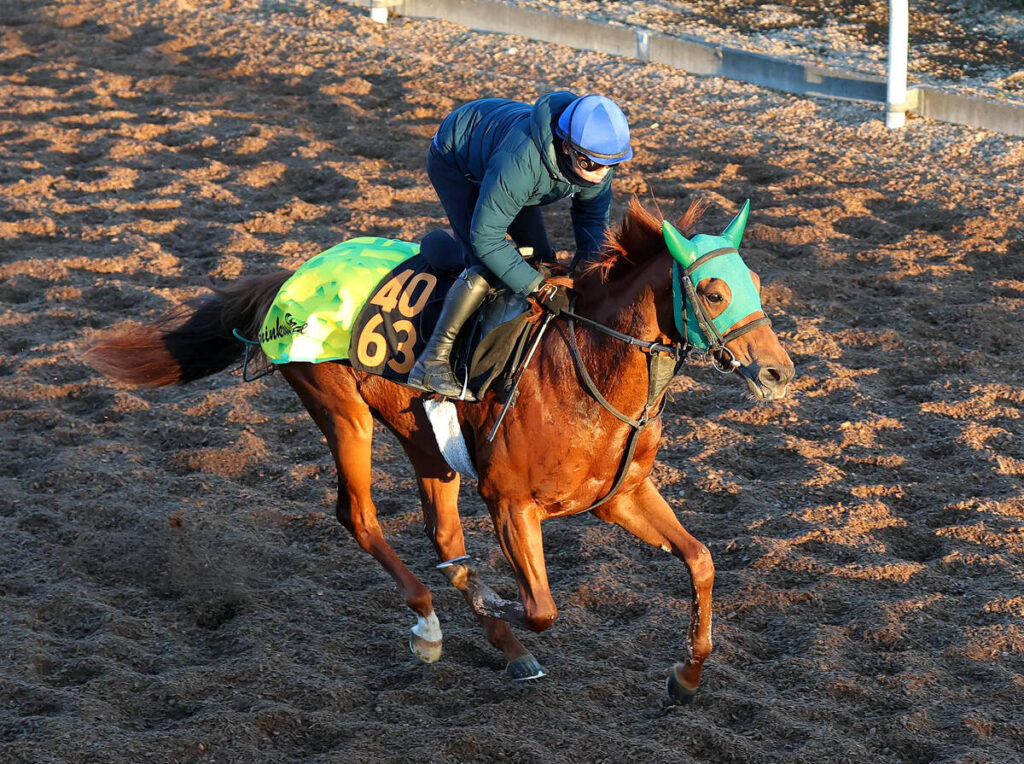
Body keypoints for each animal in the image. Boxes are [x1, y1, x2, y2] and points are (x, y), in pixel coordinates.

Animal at [84, 197, 794, 703]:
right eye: (712, 291)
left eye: (756, 281)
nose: (779, 372)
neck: (584, 367)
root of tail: (293, 276)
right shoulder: (510, 503)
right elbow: (541, 607)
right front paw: (496, 600)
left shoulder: (618, 496)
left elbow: (701, 561)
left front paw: (687, 676)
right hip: (342, 413)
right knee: (360, 517)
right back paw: (429, 625)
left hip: (423, 440)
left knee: (442, 535)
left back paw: (501, 643)